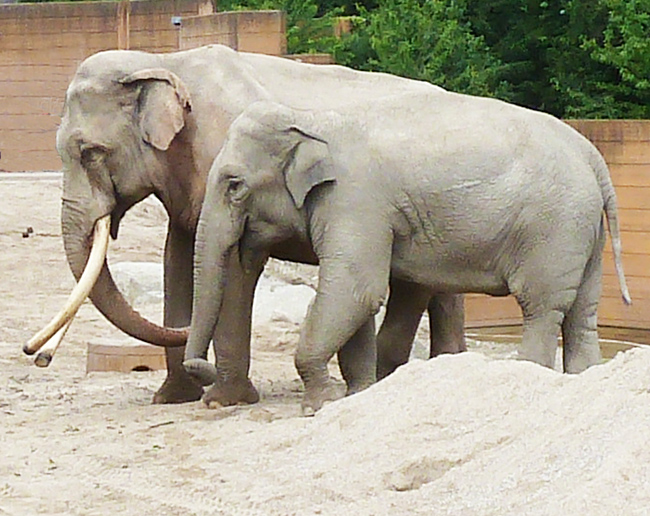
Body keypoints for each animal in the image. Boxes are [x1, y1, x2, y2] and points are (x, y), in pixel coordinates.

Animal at [26, 45, 466, 406]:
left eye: (90, 153)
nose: (38, 356)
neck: (164, 61)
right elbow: (178, 260)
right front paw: (171, 399)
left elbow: (236, 265)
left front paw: (221, 401)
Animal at [182, 96, 631, 414]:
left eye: (234, 185)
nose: (200, 371)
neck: (312, 119)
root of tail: (592, 156)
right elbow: (359, 298)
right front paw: (359, 393)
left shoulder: (354, 202)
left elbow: (357, 289)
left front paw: (319, 405)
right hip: (584, 231)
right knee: (582, 312)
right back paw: (583, 376)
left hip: (554, 227)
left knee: (542, 306)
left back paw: (529, 372)